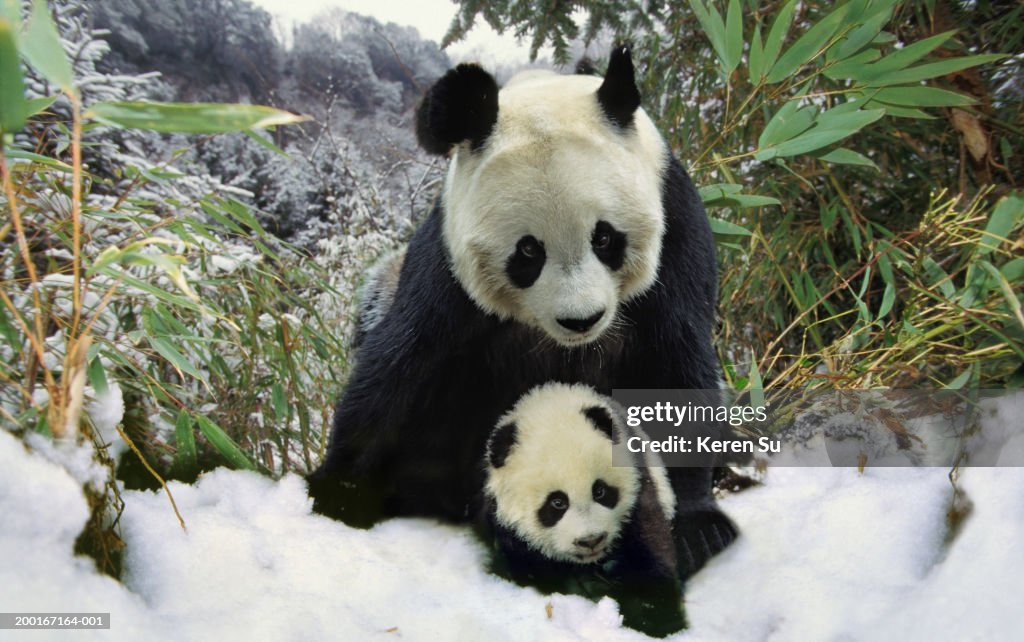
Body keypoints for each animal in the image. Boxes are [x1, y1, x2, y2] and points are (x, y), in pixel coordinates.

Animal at [311, 46, 737, 577]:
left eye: (605, 238)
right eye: (528, 251)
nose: (581, 320)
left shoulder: (675, 229)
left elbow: (675, 367)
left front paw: (700, 527)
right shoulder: (448, 269)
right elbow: (400, 367)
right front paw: (338, 490)